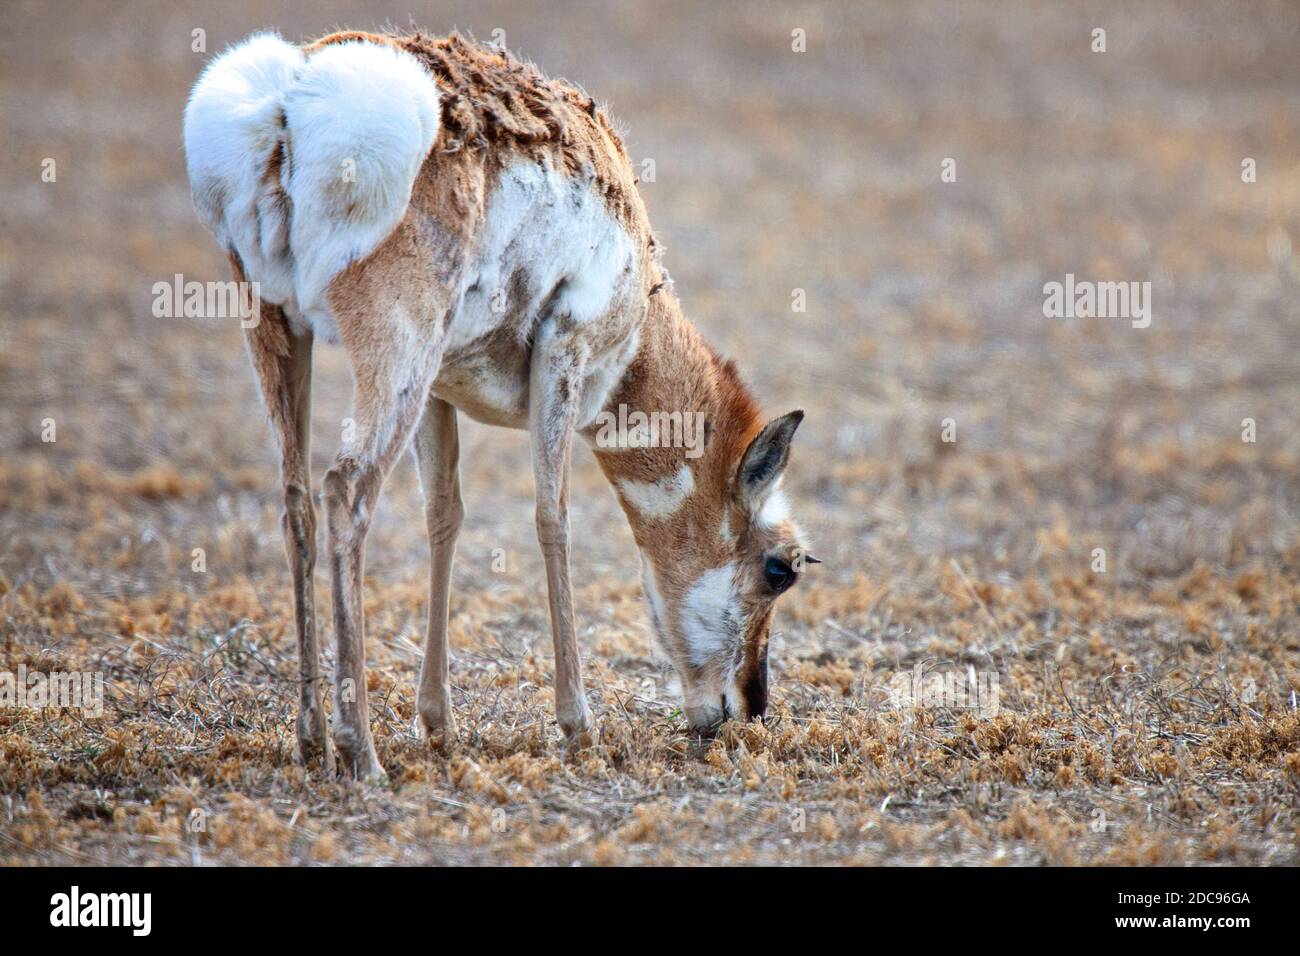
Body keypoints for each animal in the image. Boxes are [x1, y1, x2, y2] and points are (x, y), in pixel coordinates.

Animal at [184, 29, 816, 780]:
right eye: (780, 568)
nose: (751, 707)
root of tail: (288, 95)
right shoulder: (564, 351)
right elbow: (552, 517)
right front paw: (578, 728)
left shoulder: (439, 391)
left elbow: (444, 516)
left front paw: (439, 723)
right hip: (393, 350)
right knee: (346, 489)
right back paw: (360, 751)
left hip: (281, 330)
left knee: (296, 500)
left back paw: (311, 738)